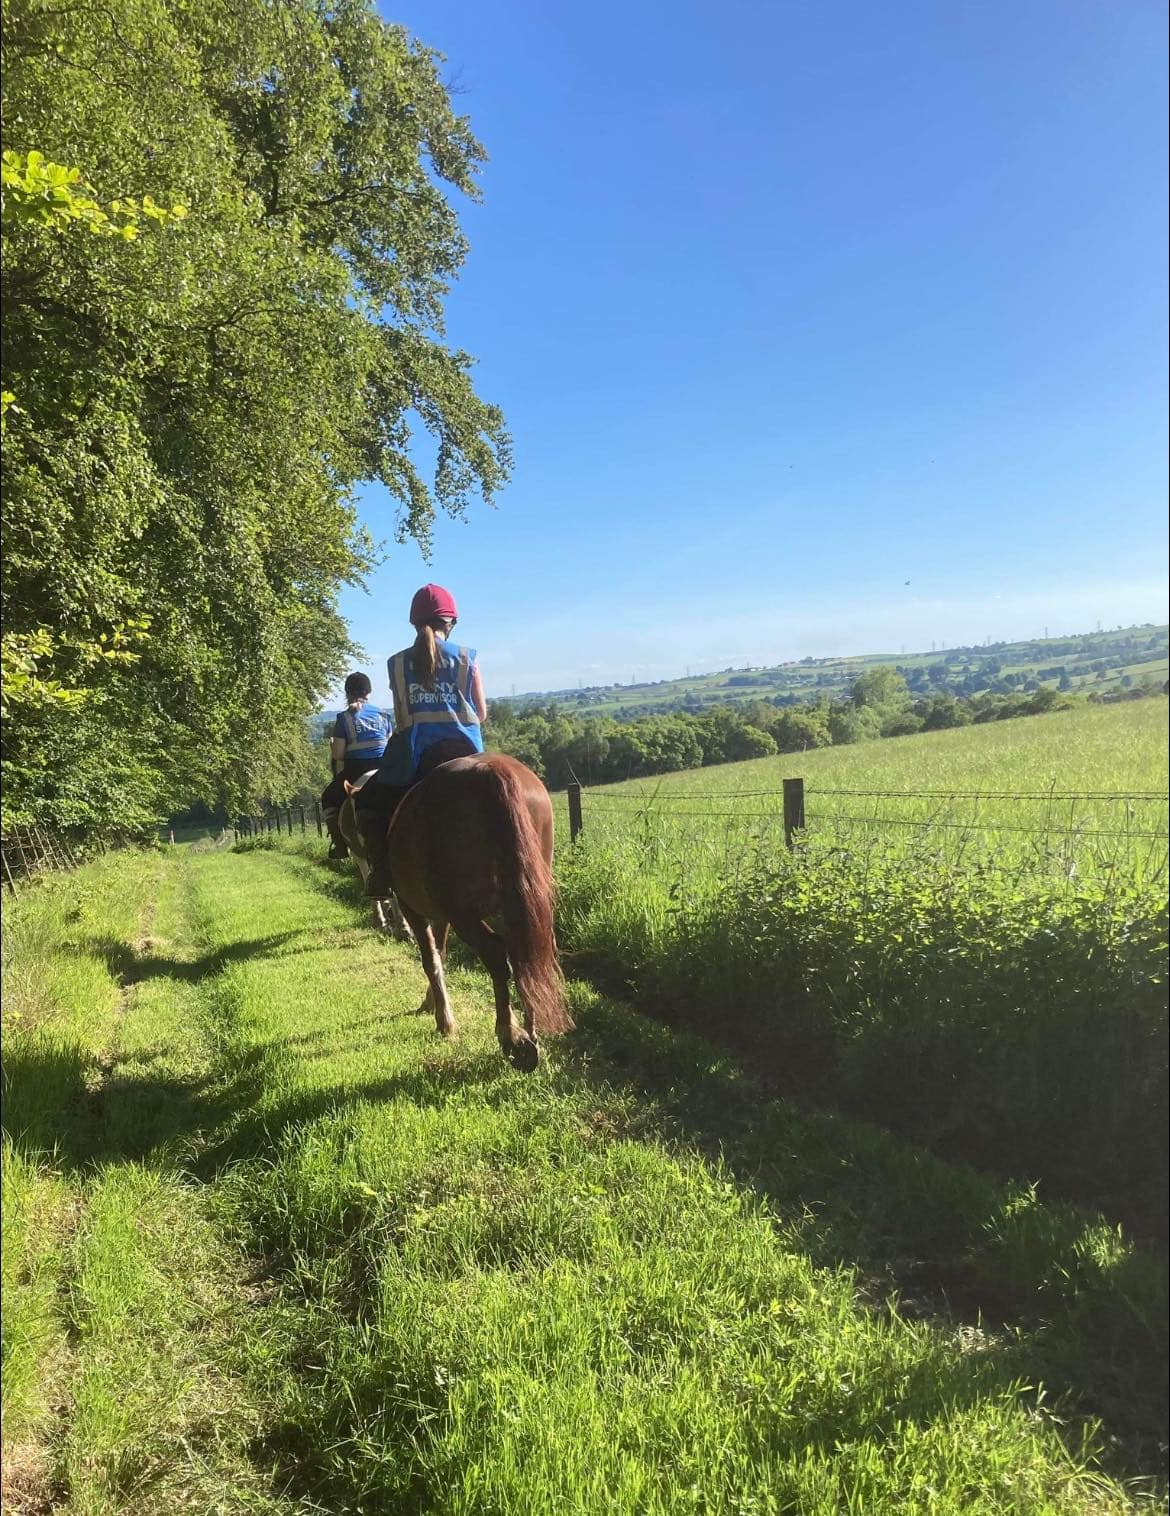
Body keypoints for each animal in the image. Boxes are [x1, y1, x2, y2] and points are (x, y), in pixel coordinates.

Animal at [340, 754, 572, 1067]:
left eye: (364, 820)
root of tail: (492, 771)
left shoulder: (414, 909)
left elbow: (430, 958)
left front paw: (444, 1021)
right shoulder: (442, 915)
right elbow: (441, 952)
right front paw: (432, 1002)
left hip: (464, 912)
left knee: (496, 954)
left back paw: (510, 1035)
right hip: (520, 903)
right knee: (530, 953)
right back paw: (531, 1034)